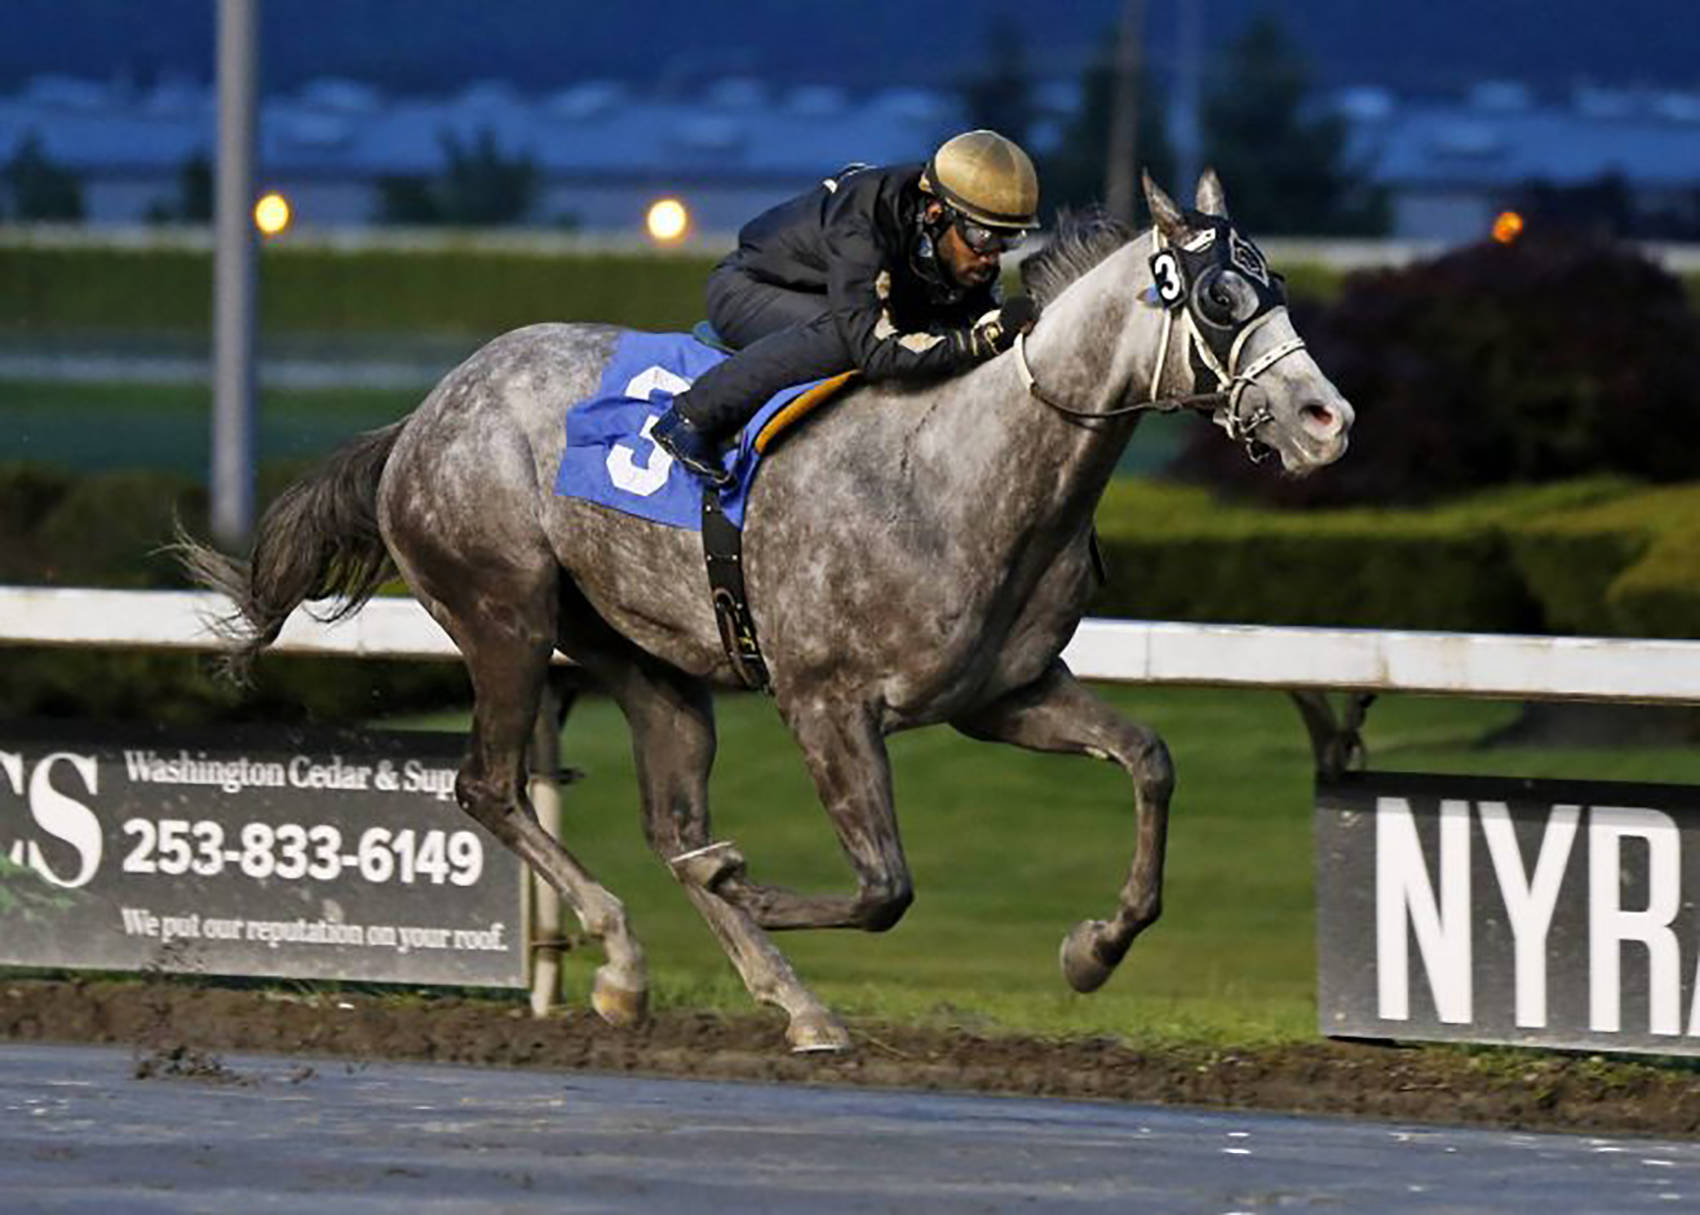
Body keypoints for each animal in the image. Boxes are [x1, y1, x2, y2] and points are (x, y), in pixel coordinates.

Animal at [179, 173, 1353, 1053]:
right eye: (1218, 298)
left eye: (1280, 283)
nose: (1326, 418)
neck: (958, 468)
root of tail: (424, 414)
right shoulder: (825, 702)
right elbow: (882, 887)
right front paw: (745, 881)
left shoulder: (1003, 693)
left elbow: (1149, 759)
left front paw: (1093, 949)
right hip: (503, 612)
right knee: (490, 788)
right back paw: (630, 956)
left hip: (648, 661)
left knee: (666, 822)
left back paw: (774, 996)